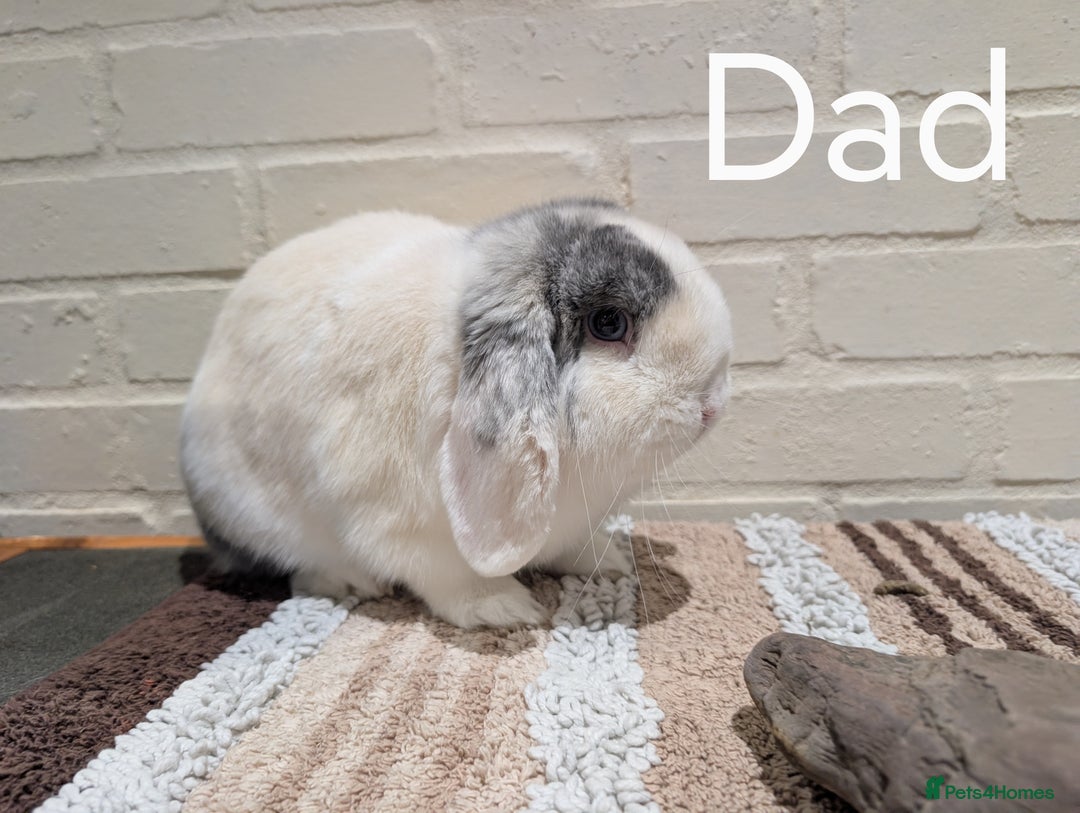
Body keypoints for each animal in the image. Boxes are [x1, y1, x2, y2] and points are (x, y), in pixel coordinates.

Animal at [180, 198, 732, 629]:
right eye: (609, 323)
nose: (712, 405)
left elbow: (576, 547)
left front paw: (612, 561)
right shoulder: (395, 520)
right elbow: (448, 575)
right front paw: (506, 610)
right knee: (296, 565)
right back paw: (353, 582)